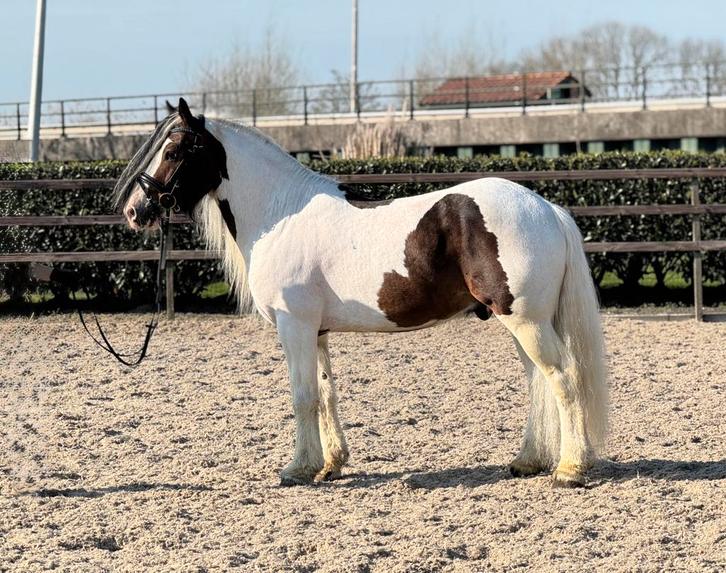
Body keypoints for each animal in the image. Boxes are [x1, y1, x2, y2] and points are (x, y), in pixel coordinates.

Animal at [115, 98, 608, 488]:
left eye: (173, 151)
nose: (135, 212)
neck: (281, 213)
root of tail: (547, 208)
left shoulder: (294, 326)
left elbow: (302, 396)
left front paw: (298, 470)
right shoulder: (316, 331)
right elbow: (326, 393)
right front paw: (330, 464)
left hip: (526, 321)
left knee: (564, 378)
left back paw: (570, 469)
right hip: (523, 323)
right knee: (538, 382)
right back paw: (529, 461)